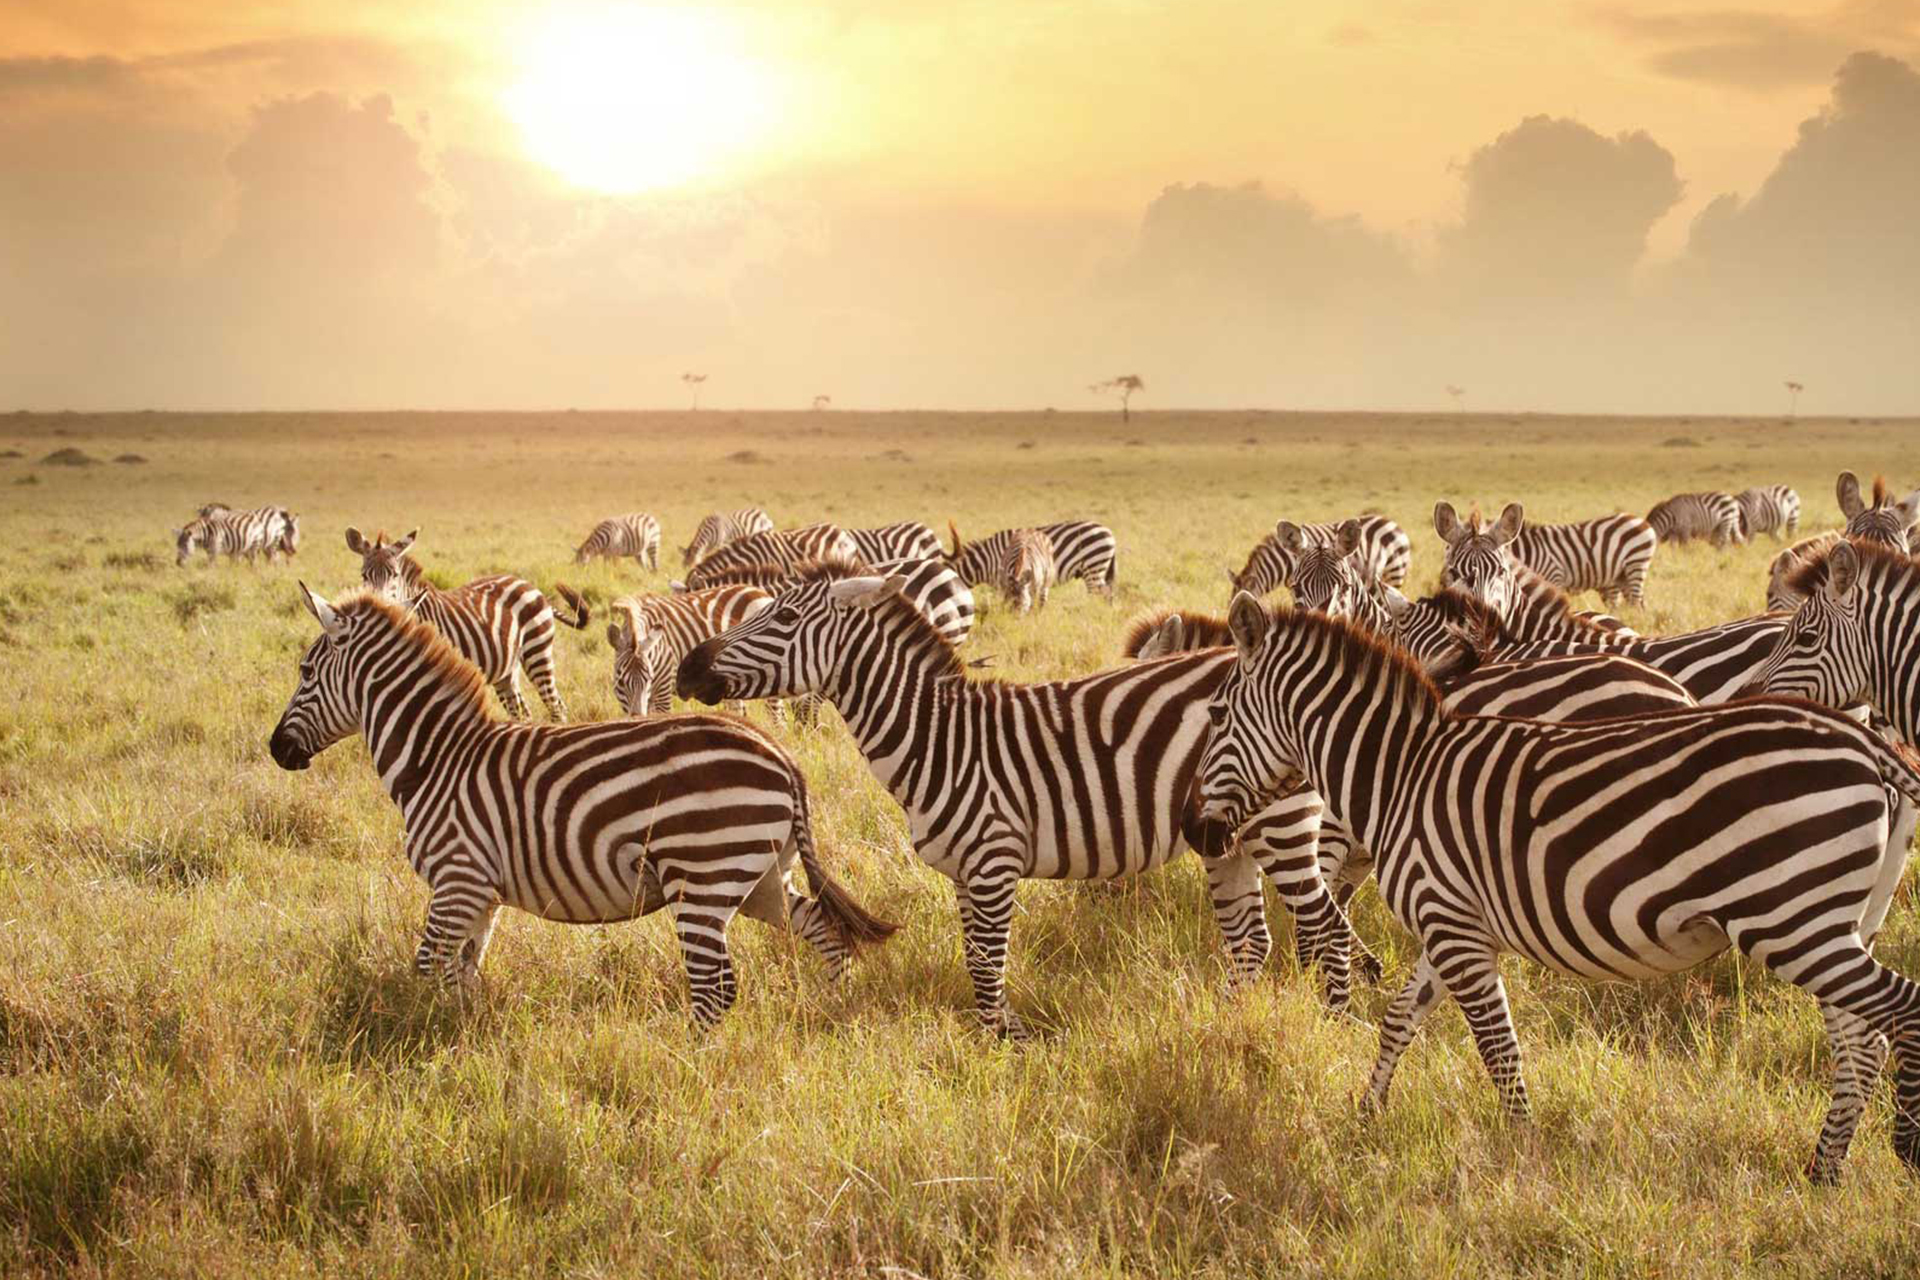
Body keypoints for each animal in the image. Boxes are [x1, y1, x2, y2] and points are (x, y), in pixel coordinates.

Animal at [346, 527, 589, 720]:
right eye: (364, 575)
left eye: (395, 575)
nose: (381, 605)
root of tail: (531, 586)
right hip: (507, 670)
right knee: (522, 712)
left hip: (537, 651)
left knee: (556, 707)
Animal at [676, 563, 1355, 1030]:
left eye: (783, 620)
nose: (688, 669)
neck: (939, 739)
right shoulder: (962, 872)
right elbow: (976, 959)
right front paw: (993, 1039)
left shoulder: (993, 860)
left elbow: (987, 963)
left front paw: (1003, 1046)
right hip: (1227, 837)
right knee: (1252, 940)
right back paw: (1228, 1021)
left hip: (1281, 825)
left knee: (1328, 928)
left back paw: (1337, 1022)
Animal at [946, 520, 1118, 599]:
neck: (986, 561)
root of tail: (1108, 531)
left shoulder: (1005, 580)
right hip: (1098, 569)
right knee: (1108, 593)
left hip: (1093, 566)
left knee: (1098, 594)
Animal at [1198, 598, 1920, 1184]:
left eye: (1215, 714)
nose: (1198, 831)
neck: (1402, 774)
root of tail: (1864, 741)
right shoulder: (1451, 922)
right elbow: (1400, 1018)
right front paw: (1367, 1113)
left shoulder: (1454, 930)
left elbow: (1498, 1048)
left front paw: (1524, 1153)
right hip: (1832, 920)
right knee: (1862, 1043)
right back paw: (1823, 1171)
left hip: (1791, 919)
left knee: (1900, 1013)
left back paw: (1902, 1151)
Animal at [1508, 513, 1657, 606]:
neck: (1530, 552)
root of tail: (1640, 520)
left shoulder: (1554, 576)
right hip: (1622, 575)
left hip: (1636, 563)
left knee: (1636, 603)